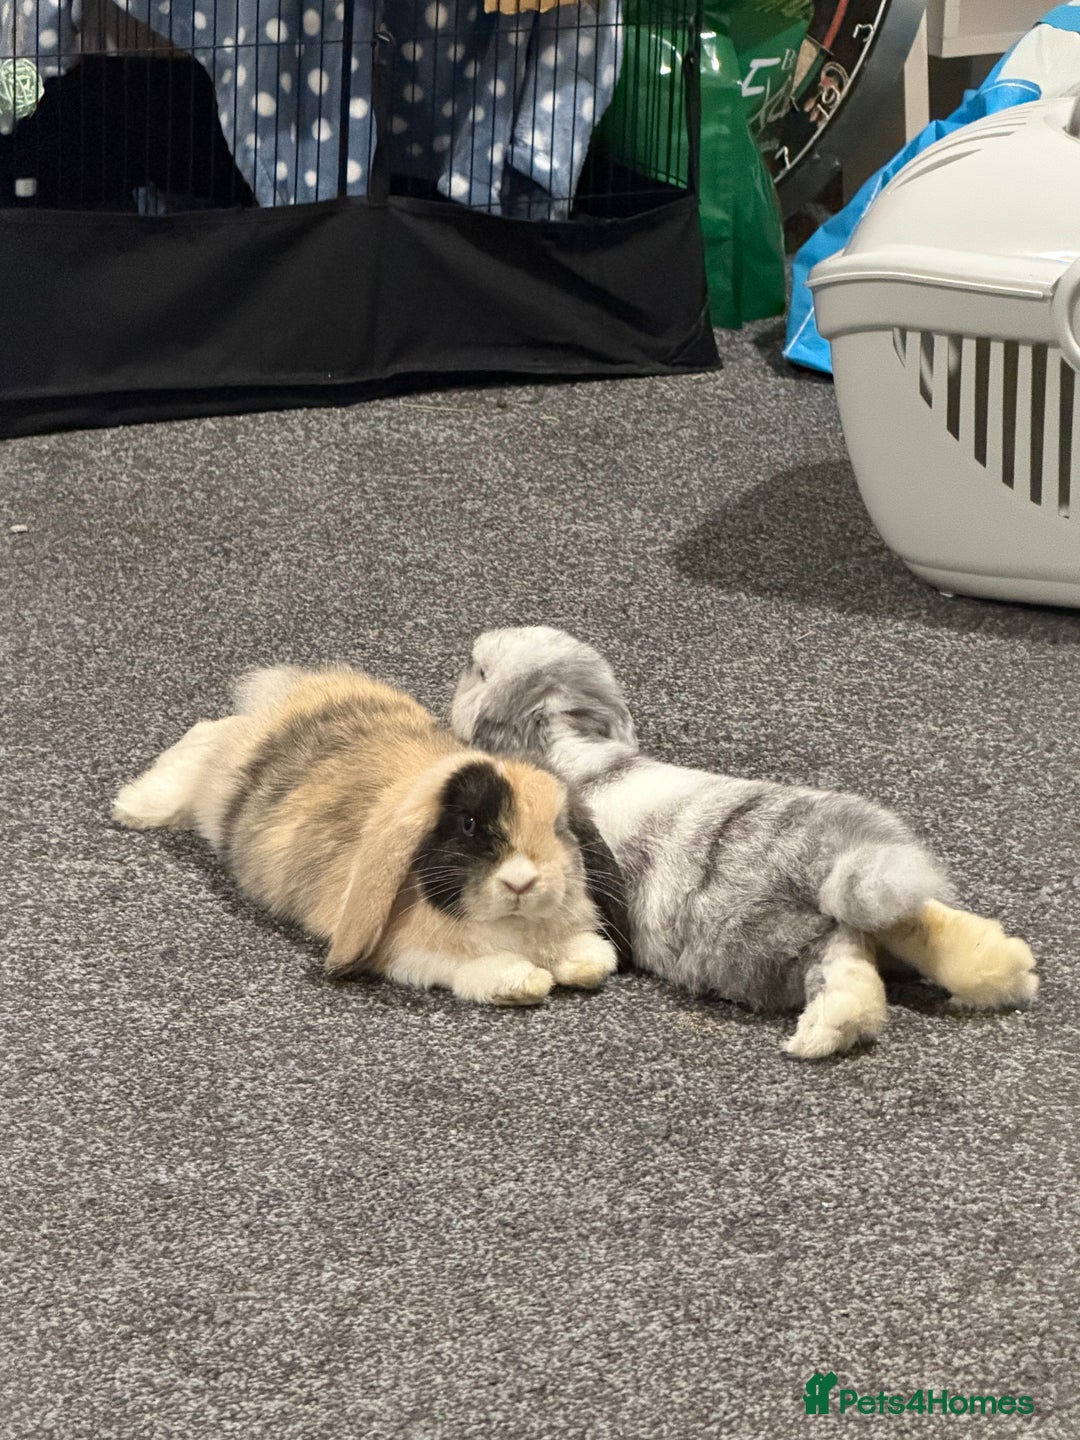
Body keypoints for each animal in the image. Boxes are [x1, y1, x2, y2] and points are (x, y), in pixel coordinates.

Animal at [112, 664, 630, 1006]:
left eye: (559, 827)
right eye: (467, 824)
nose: (521, 882)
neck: (514, 926)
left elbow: (588, 953)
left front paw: (582, 962)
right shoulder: (407, 953)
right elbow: (466, 966)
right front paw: (523, 982)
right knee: (199, 742)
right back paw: (133, 806)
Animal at [451, 627, 1039, 1057]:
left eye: (479, 670)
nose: (470, 650)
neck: (567, 742)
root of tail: (833, 863)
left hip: (752, 939)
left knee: (846, 965)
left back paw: (826, 1033)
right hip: (874, 900)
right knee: (909, 927)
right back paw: (1004, 967)